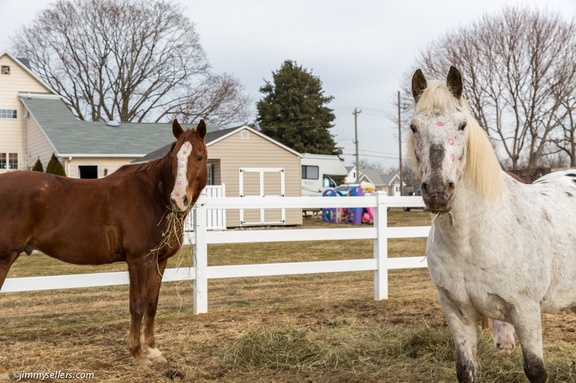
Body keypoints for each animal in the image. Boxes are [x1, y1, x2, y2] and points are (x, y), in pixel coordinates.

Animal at [0, 120, 207, 366]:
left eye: (199, 157)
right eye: (175, 158)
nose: (178, 199)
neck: (152, 196)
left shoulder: (159, 260)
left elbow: (152, 303)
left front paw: (153, 350)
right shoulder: (139, 260)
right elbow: (137, 304)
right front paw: (138, 353)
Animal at [410, 67, 576, 383]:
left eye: (462, 125)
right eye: (413, 127)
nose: (437, 191)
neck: (472, 239)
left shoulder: (525, 311)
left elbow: (535, 370)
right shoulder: (457, 312)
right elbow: (466, 370)